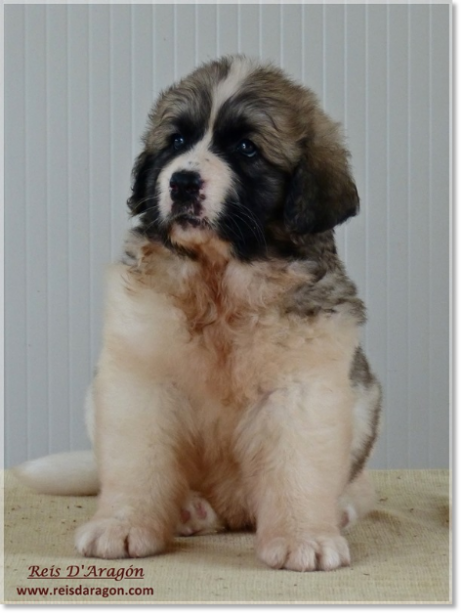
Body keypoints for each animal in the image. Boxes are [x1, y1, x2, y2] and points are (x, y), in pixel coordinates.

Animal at [16, 56, 382, 572]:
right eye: (176, 141)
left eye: (247, 148)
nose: (182, 181)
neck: (219, 280)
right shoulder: (139, 379)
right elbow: (137, 463)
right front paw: (122, 525)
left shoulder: (303, 388)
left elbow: (297, 466)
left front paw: (304, 536)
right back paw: (191, 509)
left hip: (365, 396)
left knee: (356, 482)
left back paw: (341, 508)